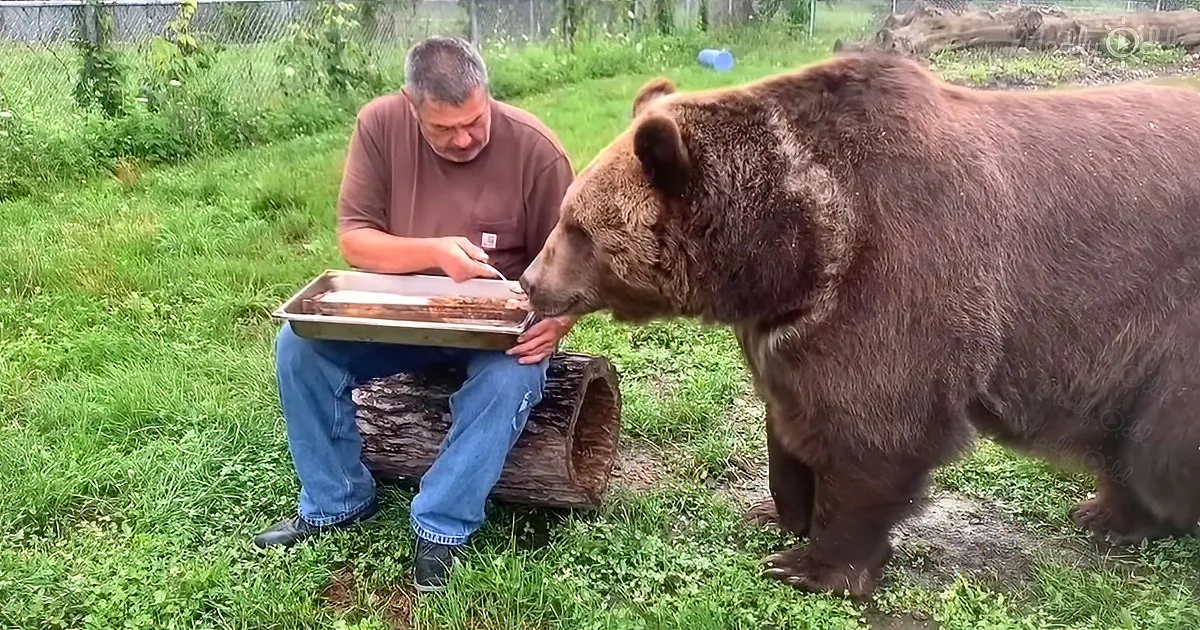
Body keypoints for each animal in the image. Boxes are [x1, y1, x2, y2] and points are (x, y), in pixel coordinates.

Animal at [517, 51, 1200, 601]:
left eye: (576, 227)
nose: (530, 281)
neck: (791, 245)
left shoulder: (899, 270)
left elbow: (872, 424)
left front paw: (808, 564)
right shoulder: (787, 326)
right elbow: (792, 417)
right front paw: (779, 511)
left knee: (1157, 450)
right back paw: (1107, 514)